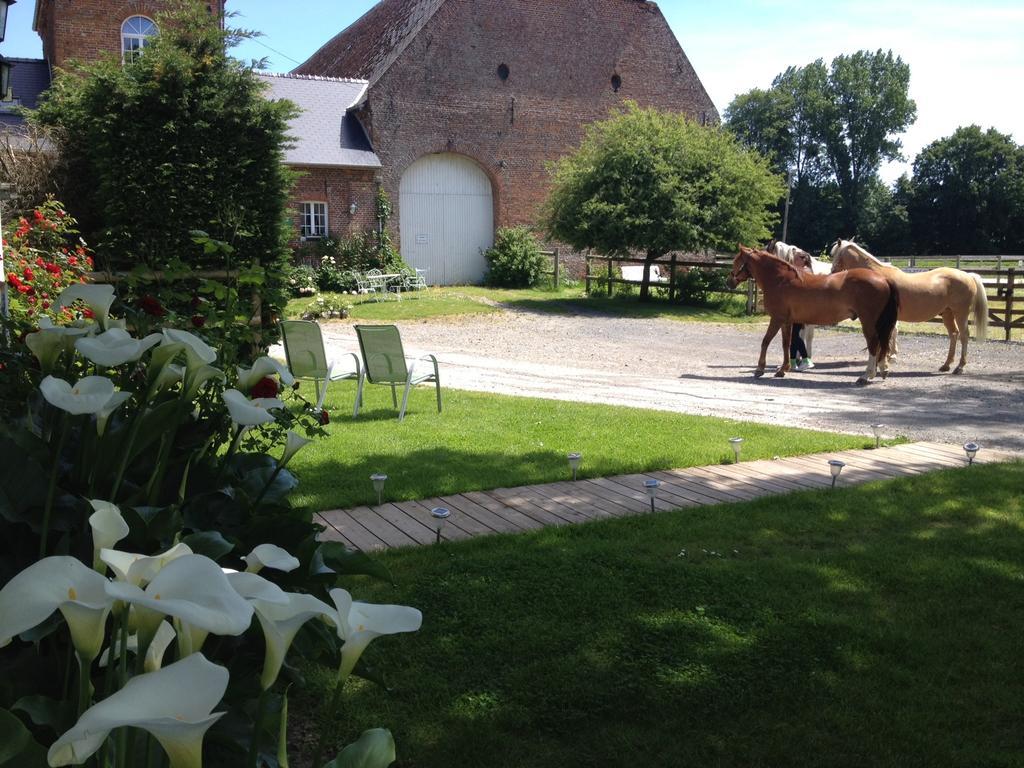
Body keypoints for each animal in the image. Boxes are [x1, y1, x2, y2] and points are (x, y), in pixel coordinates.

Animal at [724, 246, 901, 385]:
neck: (780, 280)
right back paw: (881, 370)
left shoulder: (777, 319)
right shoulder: (787, 321)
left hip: (868, 322)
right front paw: (783, 369)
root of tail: (883, 279)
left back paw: (866, 376)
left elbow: (765, 341)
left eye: (736, 262)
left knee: (873, 344)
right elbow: (786, 343)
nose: (728, 282)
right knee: (882, 344)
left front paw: (759, 369)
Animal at [835, 239, 987, 374]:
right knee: (954, 334)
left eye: (835, 256)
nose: (832, 273)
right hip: (947, 313)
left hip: (960, 314)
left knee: (964, 336)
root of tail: (968, 275)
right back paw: (946, 365)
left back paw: (960, 367)